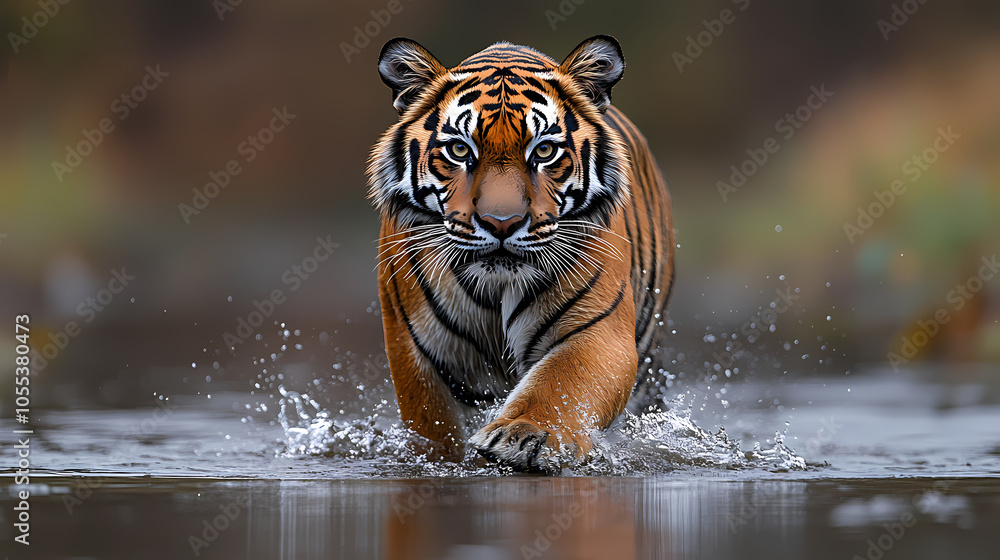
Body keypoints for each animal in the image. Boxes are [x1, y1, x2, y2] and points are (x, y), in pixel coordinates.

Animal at [368, 35, 674, 473]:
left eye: (544, 151)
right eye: (459, 150)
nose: (501, 222)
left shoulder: (599, 329)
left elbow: (562, 383)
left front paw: (523, 433)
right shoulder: (414, 350)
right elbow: (433, 428)